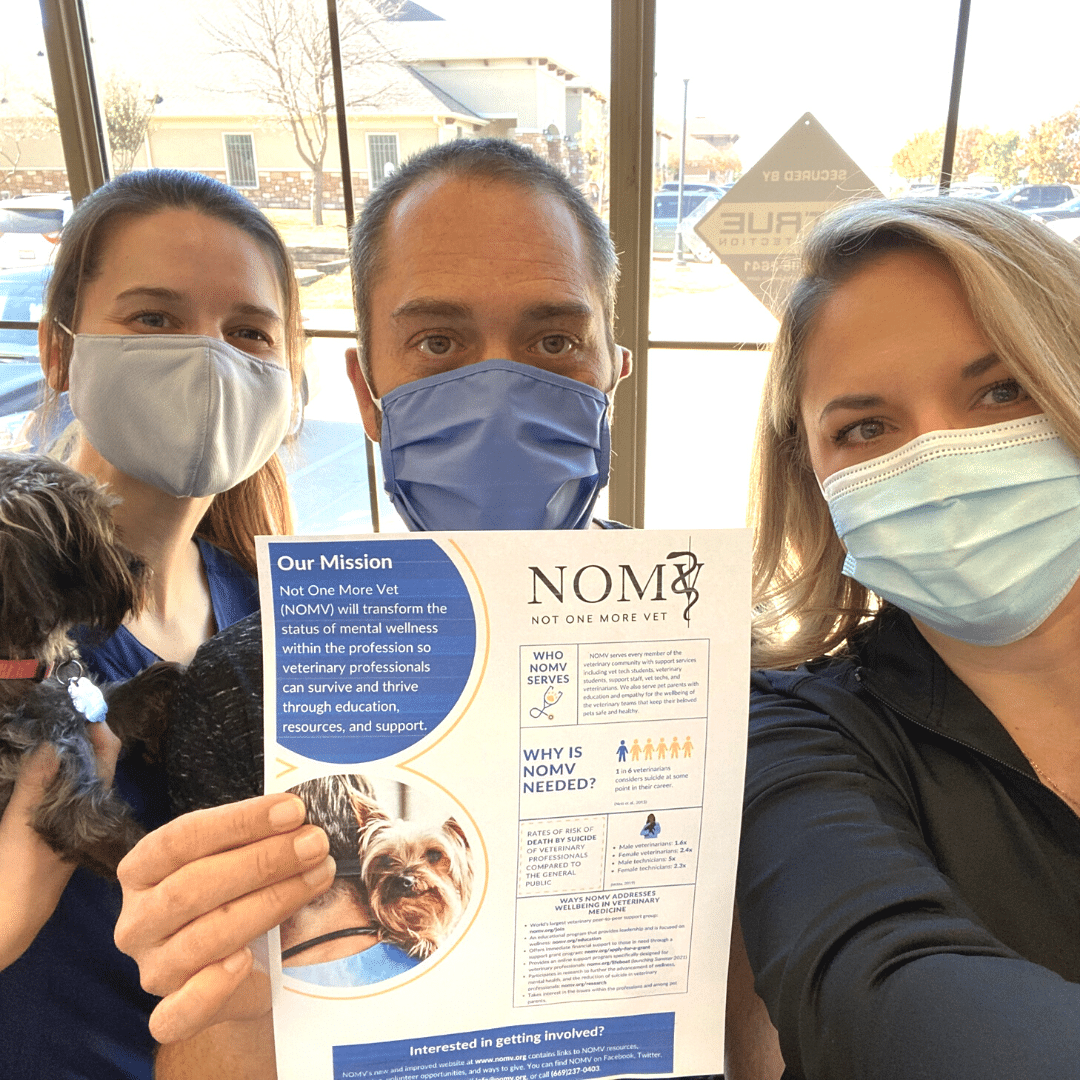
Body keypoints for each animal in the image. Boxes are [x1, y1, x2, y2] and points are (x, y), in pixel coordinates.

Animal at [0, 453, 179, 876]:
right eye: (91, 532)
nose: (139, 565)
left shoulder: (89, 717)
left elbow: (134, 696)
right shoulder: (70, 802)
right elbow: (137, 851)